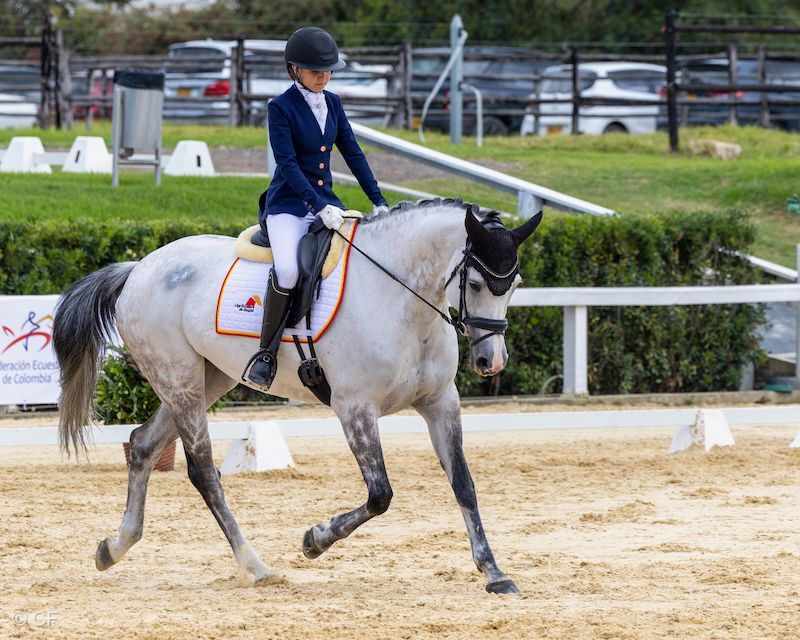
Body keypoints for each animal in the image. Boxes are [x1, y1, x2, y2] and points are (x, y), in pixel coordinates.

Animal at [52, 198, 542, 595]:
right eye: (475, 284)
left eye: (515, 284)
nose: (491, 362)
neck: (403, 299)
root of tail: (139, 268)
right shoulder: (355, 408)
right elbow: (380, 494)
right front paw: (314, 540)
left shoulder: (440, 402)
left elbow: (464, 484)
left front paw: (495, 573)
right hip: (181, 380)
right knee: (203, 471)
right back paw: (255, 566)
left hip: (207, 379)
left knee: (142, 445)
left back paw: (114, 547)